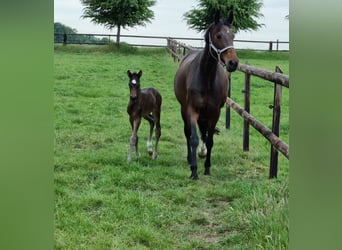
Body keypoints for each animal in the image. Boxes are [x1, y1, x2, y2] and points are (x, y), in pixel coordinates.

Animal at [174, 11, 238, 180]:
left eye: (233, 35)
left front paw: (207, 167)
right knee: (188, 132)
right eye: (218, 35)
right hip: (183, 109)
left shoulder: (215, 112)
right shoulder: (192, 110)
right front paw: (194, 170)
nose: (233, 63)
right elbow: (194, 138)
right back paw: (190, 158)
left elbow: (209, 140)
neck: (207, 78)